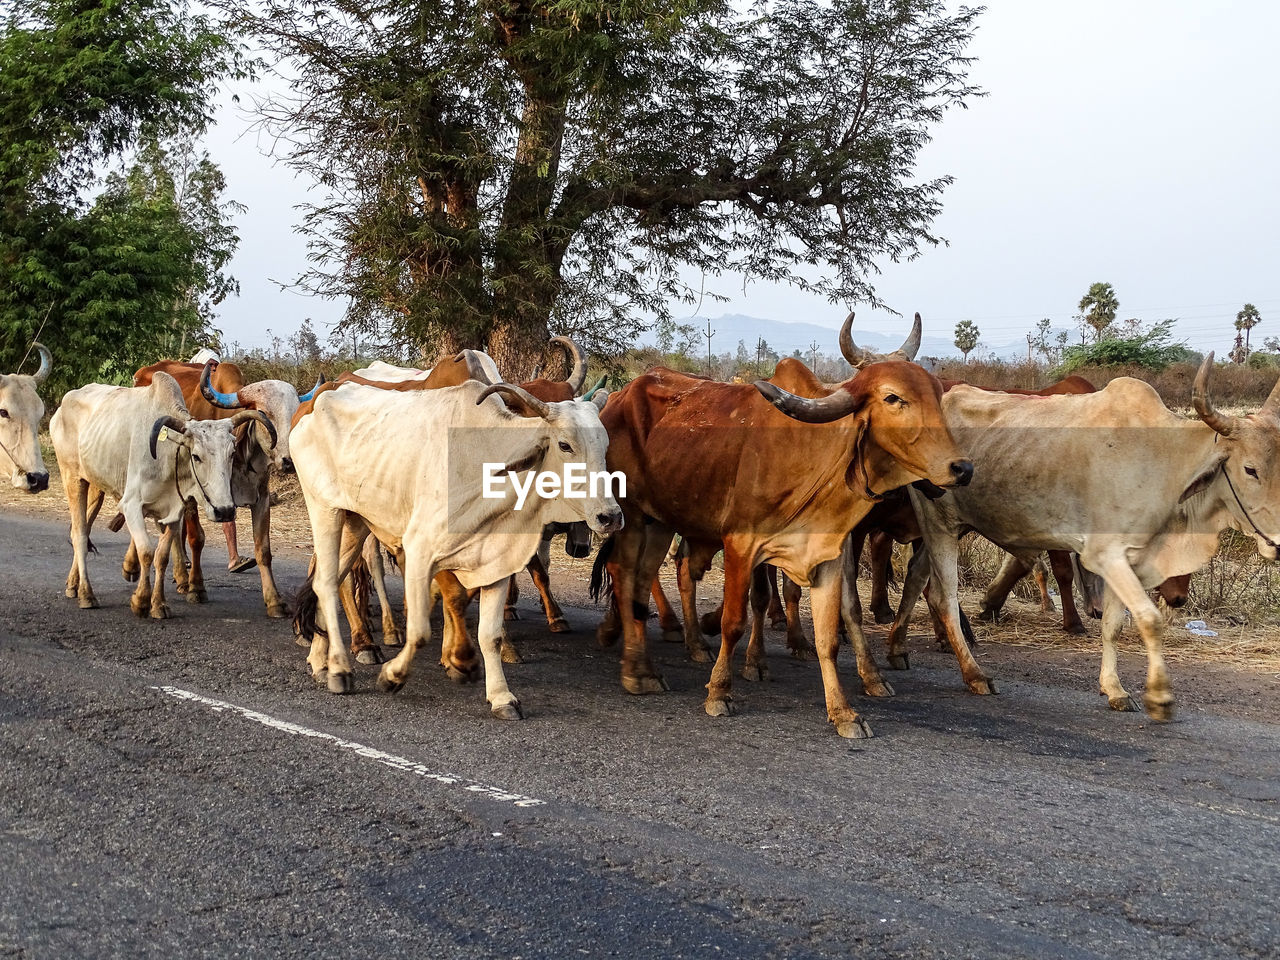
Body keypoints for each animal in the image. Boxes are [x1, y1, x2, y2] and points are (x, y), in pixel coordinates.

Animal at [51, 371, 272, 619]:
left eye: (232, 453)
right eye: (196, 456)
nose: (224, 511)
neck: (168, 454)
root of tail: (64, 404)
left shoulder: (175, 510)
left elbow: (162, 556)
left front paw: (158, 604)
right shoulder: (131, 506)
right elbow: (147, 552)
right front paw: (140, 600)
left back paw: (73, 584)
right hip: (73, 479)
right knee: (79, 534)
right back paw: (86, 593)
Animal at [291, 378, 629, 716]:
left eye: (605, 446)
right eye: (564, 445)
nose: (610, 516)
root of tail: (317, 402)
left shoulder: (496, 563)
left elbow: (490, 636)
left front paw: (501, 697)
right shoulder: (418, 551)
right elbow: (419, 630)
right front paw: (392, 675)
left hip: (356, 522)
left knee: (324, 581)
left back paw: (321, 662)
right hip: (325, 511)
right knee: (327, 584)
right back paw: (339, 670)